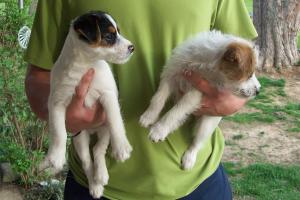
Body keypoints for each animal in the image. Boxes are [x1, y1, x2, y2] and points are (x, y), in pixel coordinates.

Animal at [38, 11, 134, 198]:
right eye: (110, 36)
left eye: (118, 32)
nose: (132, 47)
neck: (84, 66)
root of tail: (92, 130)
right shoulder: (56, 103)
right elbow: (59, 133)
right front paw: (56, 157)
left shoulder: (108, 96)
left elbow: (115, 121)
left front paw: (121, 147)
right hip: (79, 138)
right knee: (87, 161)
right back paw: (95, 184)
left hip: (104, 130)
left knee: (98, 149)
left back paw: (101, 175)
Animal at [141, 30, 260, 170]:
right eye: (249, 75)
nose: (258, 90)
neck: (203, 65)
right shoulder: (170, 75)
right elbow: (158, 98)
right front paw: (148, 116)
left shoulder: (197, 93)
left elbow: (175, 112)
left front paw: (159, 130)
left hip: (207, 125)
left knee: (196, 142)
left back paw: (189, 158)